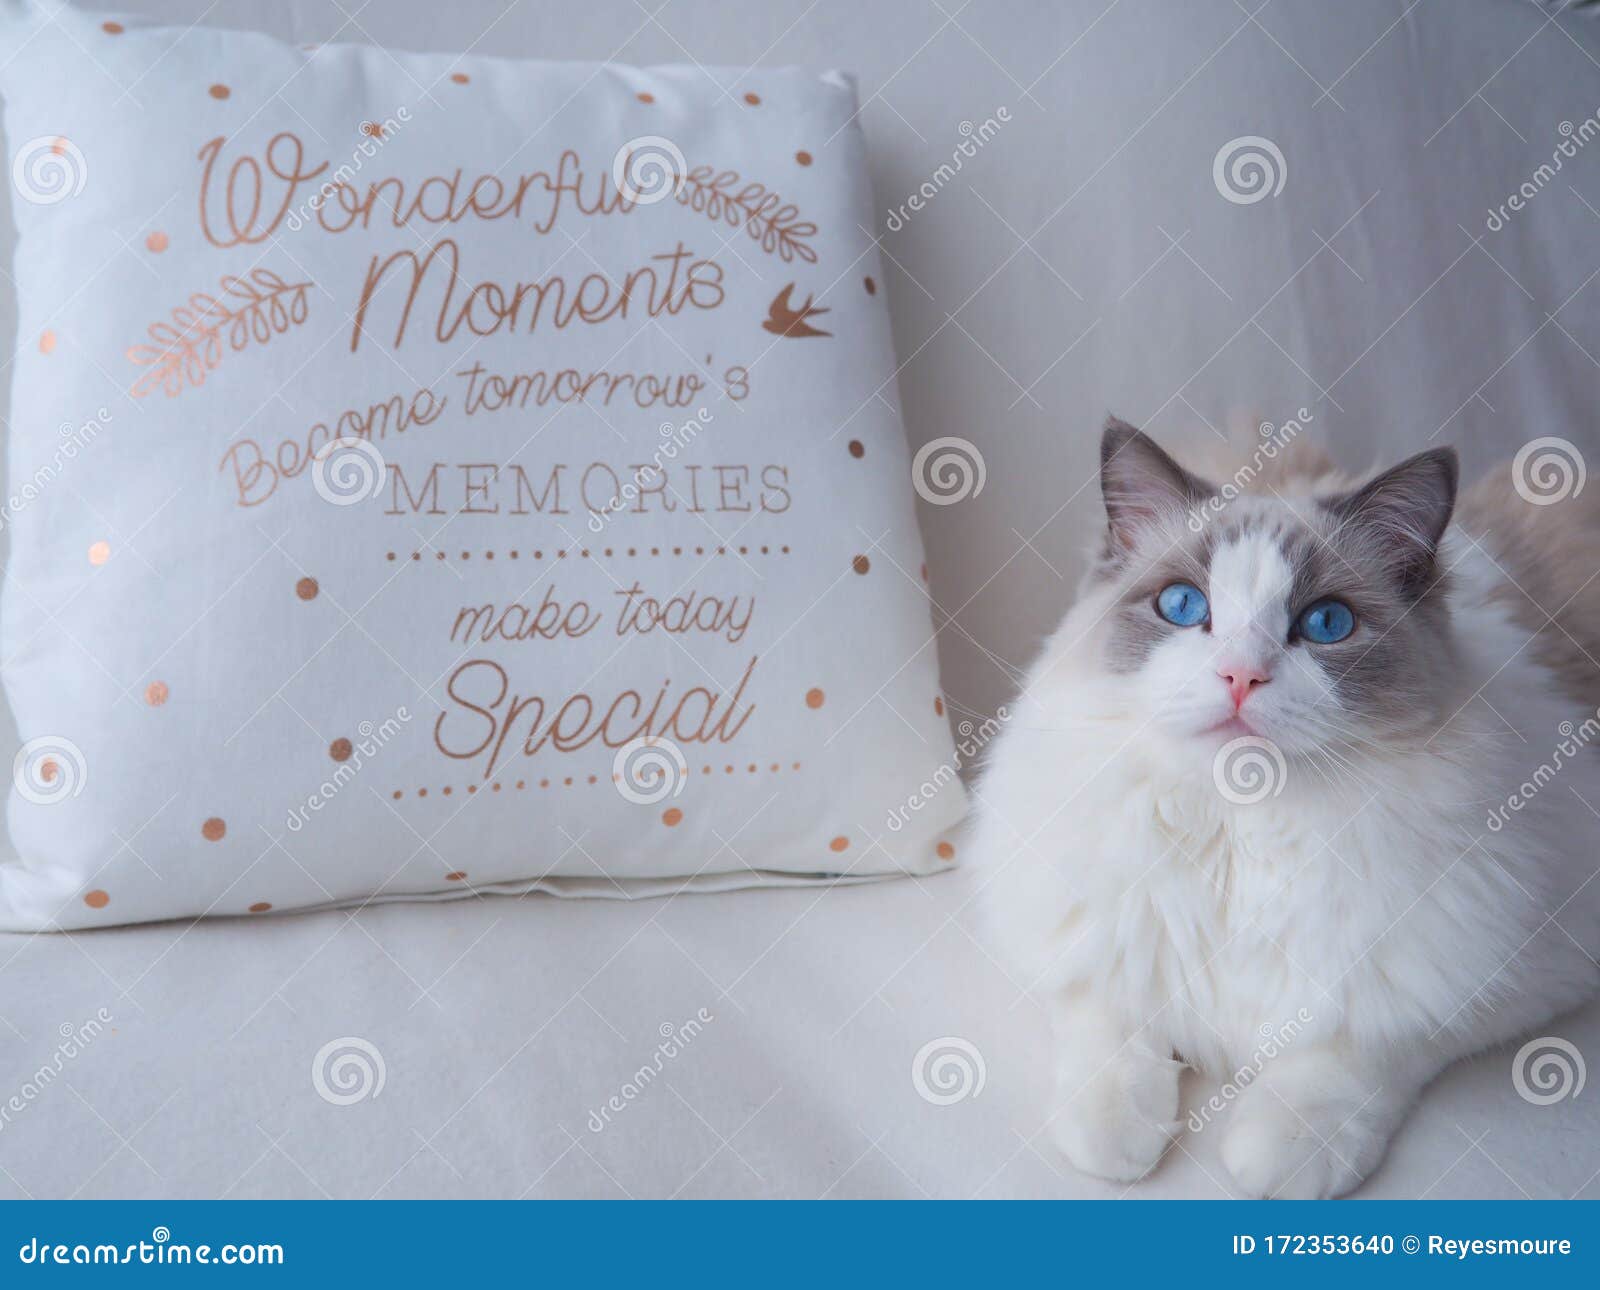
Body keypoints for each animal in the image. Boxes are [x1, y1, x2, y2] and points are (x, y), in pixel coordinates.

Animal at [966, 422, 1600, 1203]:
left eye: (1326, 623)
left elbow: (1361, 1045)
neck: (1239, 834)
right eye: (1183, 607)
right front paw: (1116, 1142)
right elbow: (1108, 1019)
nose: (1241, 675)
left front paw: (1281, 1156)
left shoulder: (1517, 971)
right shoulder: (1088, 932)